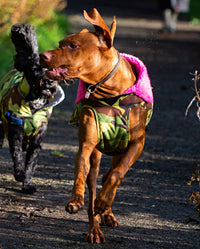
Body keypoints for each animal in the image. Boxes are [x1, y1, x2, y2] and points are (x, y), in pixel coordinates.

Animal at [0, 23, 65, 195]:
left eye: (54, 69)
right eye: (36, 68)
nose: (49, 81)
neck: (34, 105)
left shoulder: (38, 138)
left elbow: (30, 162)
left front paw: (27, 184)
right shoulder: (15, 128)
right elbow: (17, 155)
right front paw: (19, 174)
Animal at [40, 9, 153, 243]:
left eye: (72, 45)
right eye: (60, 43)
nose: (42, 56)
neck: (110, 93)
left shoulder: (136, 145)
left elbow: (117, 174)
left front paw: (104, 202)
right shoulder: (87, 144)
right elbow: (81, 174)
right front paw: (76, 200)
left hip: (120, 150)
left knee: (111, 175)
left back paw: (106, 210)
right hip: (97, 154)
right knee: (94, 182)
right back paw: (95, 228)